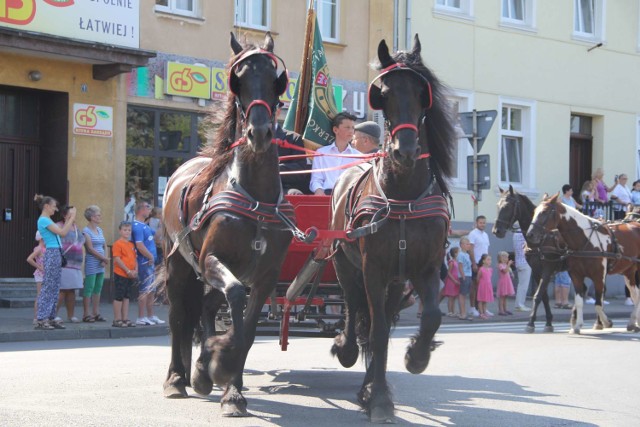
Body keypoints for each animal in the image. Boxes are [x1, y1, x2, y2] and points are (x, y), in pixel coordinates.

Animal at [160, 33, 290, 418]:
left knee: (203, 307)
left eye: (275, 80)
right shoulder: (211, 261)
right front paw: (219, 363)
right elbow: (234, 299)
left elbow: (247, 329)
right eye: (239, 80)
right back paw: (177, 378)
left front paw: (230, 385)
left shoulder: (265, 276)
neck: (256, 194)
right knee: (178, 316)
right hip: (179, 265)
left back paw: (201, 370)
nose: (259, 132)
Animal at [328, 36, 458, 424]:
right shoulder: (373, 268)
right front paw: (381, 398)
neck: (402, 194)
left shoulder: (424, 268)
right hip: (344, 264)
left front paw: (416, 356)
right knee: (354, 308)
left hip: (397, 280)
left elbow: (431, 316)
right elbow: (378, 329)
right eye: (382, 94)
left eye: (420, 92)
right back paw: (347, 351)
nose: (404, 152)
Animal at [492, 187, 568, 334]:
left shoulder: (547, 269)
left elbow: (538, 295)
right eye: (497, 205)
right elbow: (543, 296)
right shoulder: (537, 271)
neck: (542, 238)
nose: (496, 231)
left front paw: (531, 322)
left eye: (507, 206)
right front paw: (548, 322)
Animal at [524, 194, 640, 334]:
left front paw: (606, 322)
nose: (530, 234)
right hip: (629, 271)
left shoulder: (598, 276)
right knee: (636, 295)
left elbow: (598, 303)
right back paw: (633, 322)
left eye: (545, 212)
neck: (585, 240)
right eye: (535, 211)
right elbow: (579, 301)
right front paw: (577, 325)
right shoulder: (575, 275)